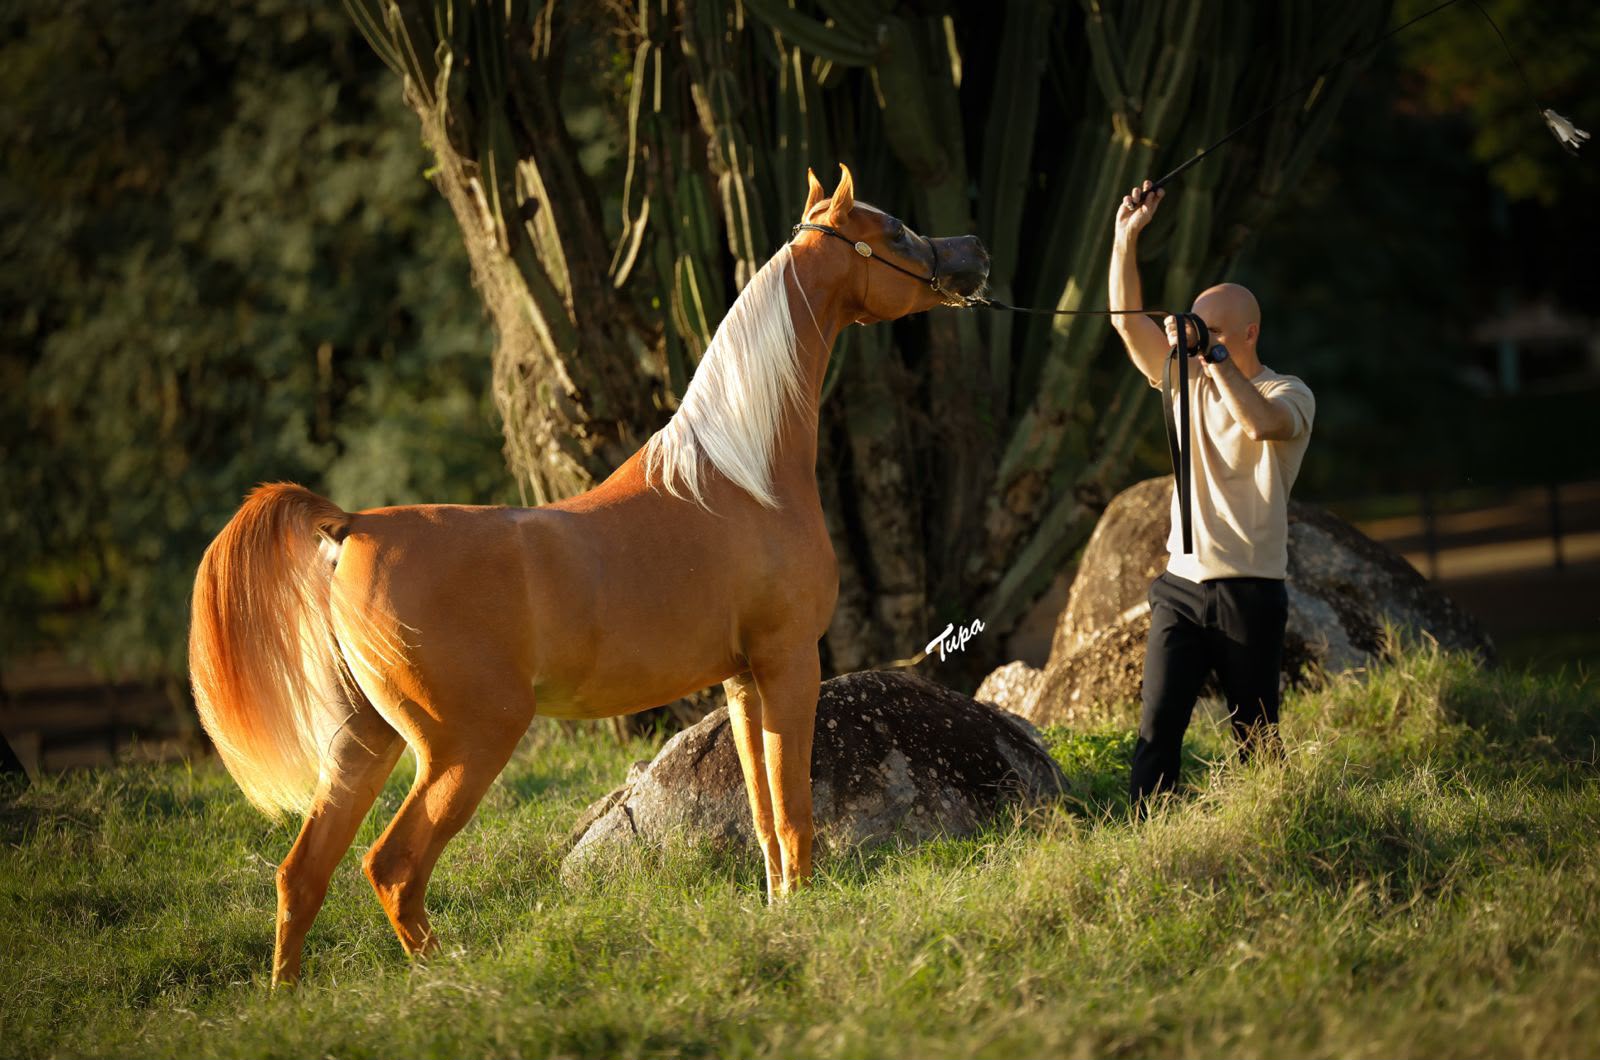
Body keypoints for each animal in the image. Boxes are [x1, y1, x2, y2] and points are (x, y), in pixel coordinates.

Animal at [187, 164, 990, 986]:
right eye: (892, 230)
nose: (975, 250)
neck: (745, 475)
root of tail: (352, 526)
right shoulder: (790, 661)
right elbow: (795, 812)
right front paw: (804, 914)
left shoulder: (743, 681)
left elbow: (766, 816)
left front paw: (779, 910)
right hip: (466, 745)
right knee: (392, 867)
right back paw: (450, 976)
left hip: (364, 745)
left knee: (302, 875)